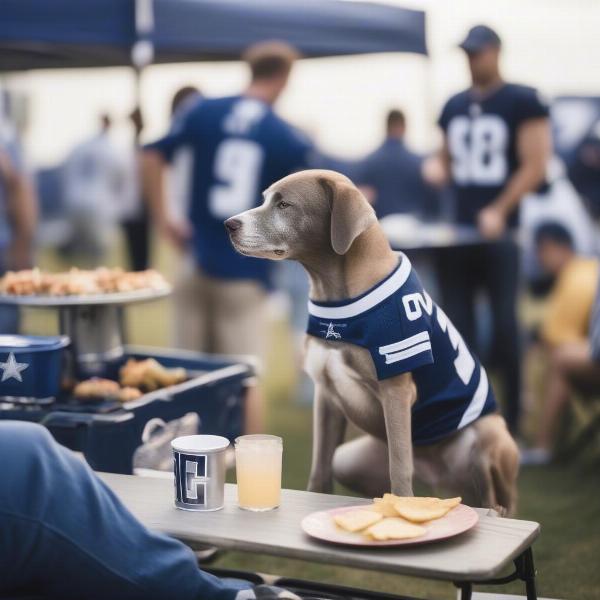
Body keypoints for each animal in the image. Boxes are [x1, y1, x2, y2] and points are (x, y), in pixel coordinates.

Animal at [226, 169, 520, 516]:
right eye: (265, 199)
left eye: (284, 204)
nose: (229, 224)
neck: (335, 294)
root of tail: (440, 478)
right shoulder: (326, 394)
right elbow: (320, 468)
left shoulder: (396, 390)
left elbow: (400, 465)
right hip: (351, 461)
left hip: (491, 437)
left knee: (498, 496)